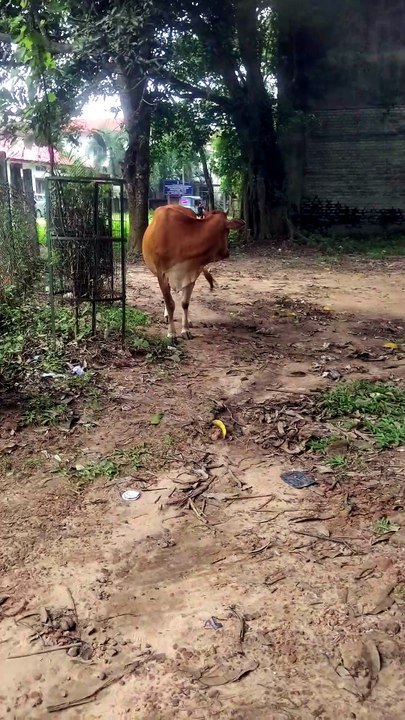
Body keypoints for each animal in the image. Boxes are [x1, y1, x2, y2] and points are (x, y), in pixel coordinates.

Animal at [142, 205, 245, 340]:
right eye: (227, 231)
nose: (227, 252)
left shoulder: (191, 273)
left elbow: (185, 303)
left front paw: (185, 330)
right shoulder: (162, 275)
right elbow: (170, 303)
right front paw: (172, 333)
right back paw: (167, 316)